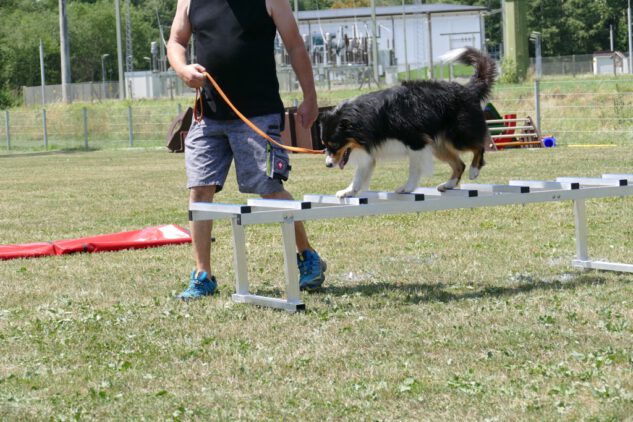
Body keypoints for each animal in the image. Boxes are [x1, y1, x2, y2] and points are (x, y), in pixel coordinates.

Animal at [320, 47, 497, 198]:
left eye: (335, 144)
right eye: (325, 145)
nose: (327, 165)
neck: (366, 117)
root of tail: (468, 89)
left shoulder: (416, 142)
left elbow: (413, 169)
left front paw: (408, 188)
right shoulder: (371, 148)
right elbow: (359, 174)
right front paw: (348, 191)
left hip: (457, 136)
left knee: (479, 146)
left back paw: (474, 170)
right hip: (438, 145)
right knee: (459, 164)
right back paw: (448, 184)